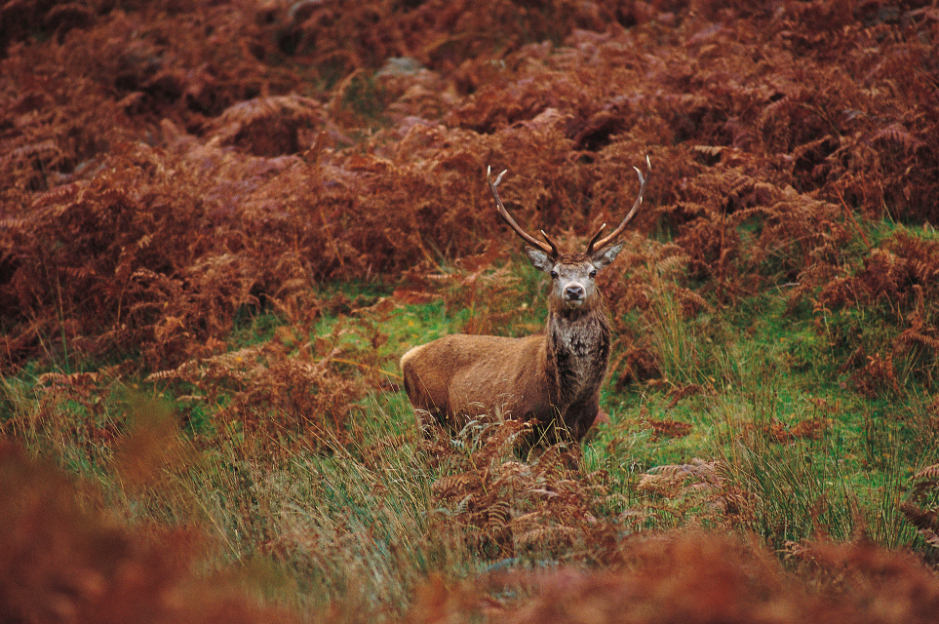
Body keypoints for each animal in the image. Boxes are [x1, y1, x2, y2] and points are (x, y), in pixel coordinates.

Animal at [400, 161, 648, 444]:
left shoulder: (577, 431)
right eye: (554, 273)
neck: (565, 400)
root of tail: (407, 357)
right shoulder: (516, 420)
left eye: (593, 272)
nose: (574, 291)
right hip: (427, 414)